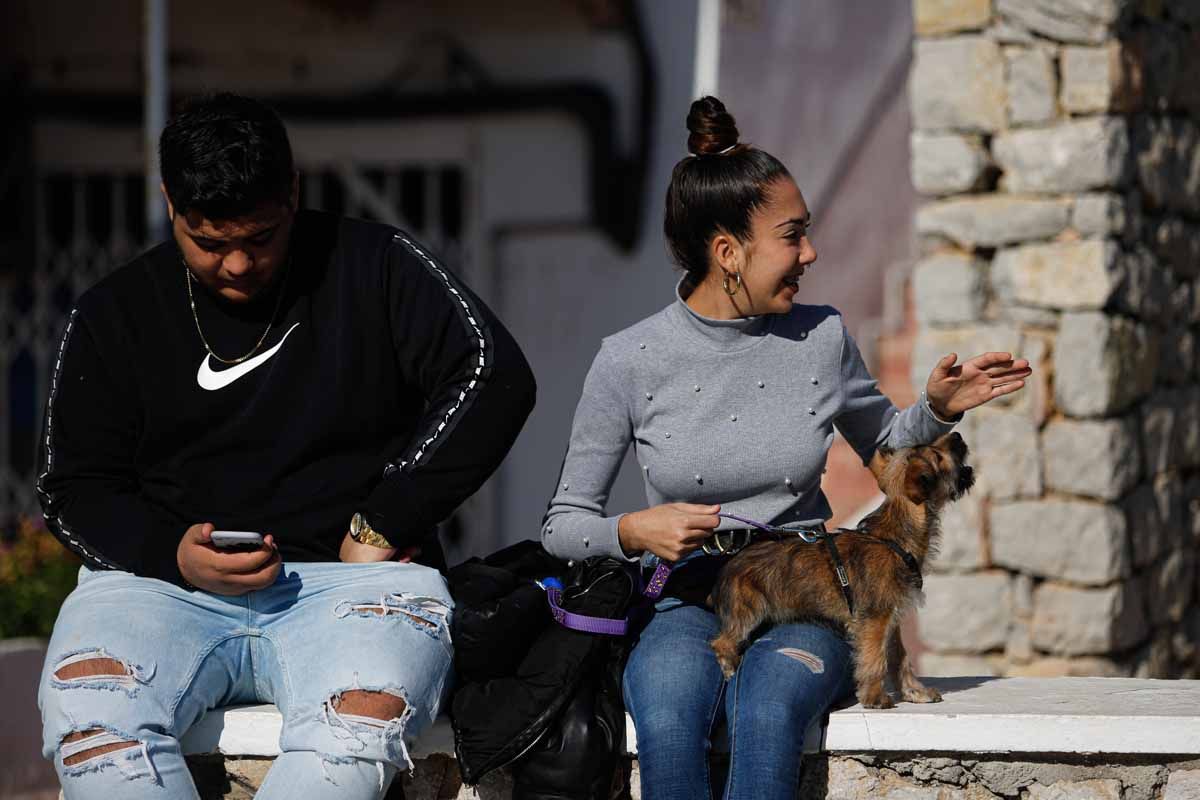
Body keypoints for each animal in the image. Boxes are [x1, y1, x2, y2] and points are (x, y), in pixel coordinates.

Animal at [710, 434, 974, 710]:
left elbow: (900, 658)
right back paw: (730, 667)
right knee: (721, 641)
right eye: (937, 456)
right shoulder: (875, 619)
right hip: (748, 611)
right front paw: (874, 697)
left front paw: (914, 692)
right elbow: (874, 658)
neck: (896, 537)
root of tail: (728, 568)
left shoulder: (891, 619)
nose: (957, 435)